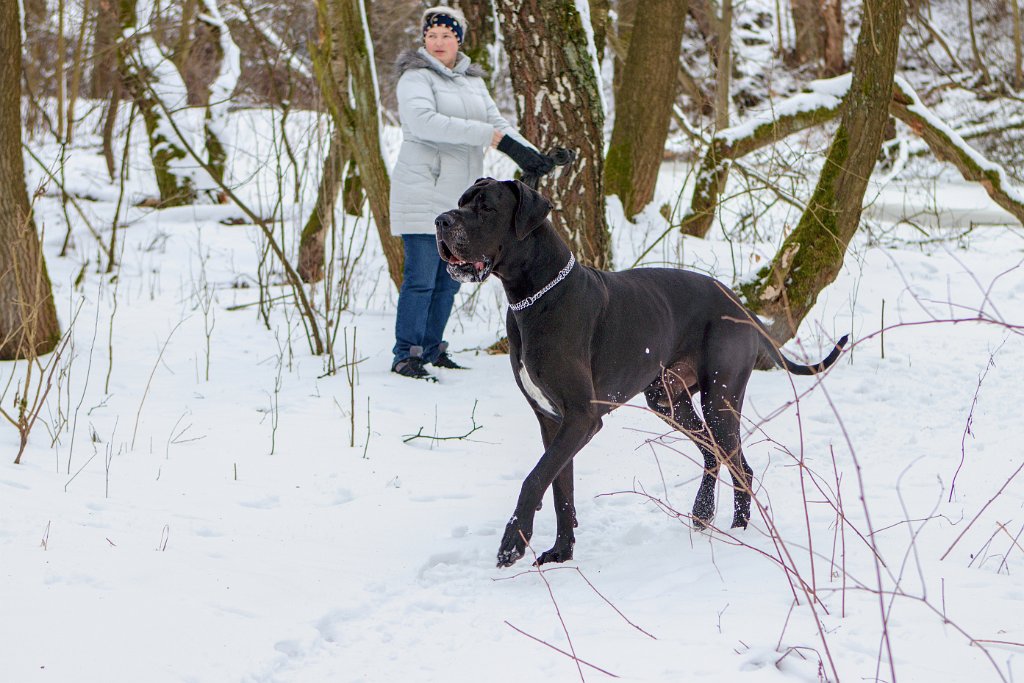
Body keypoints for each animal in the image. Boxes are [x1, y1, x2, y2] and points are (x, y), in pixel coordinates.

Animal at [436, 179, 843, 569]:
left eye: (486, 207)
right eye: (460, 202)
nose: (441, 220)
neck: (537, 296)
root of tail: (740, 302)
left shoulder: (582, 417)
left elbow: (535, 478)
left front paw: (512, 543)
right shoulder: (553, 422)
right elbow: (560, 489)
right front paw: (562, 553)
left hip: (721, 399)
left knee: (740, 465)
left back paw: (738, 530)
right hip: (667, 400)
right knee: (712, 453)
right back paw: (703, 513)